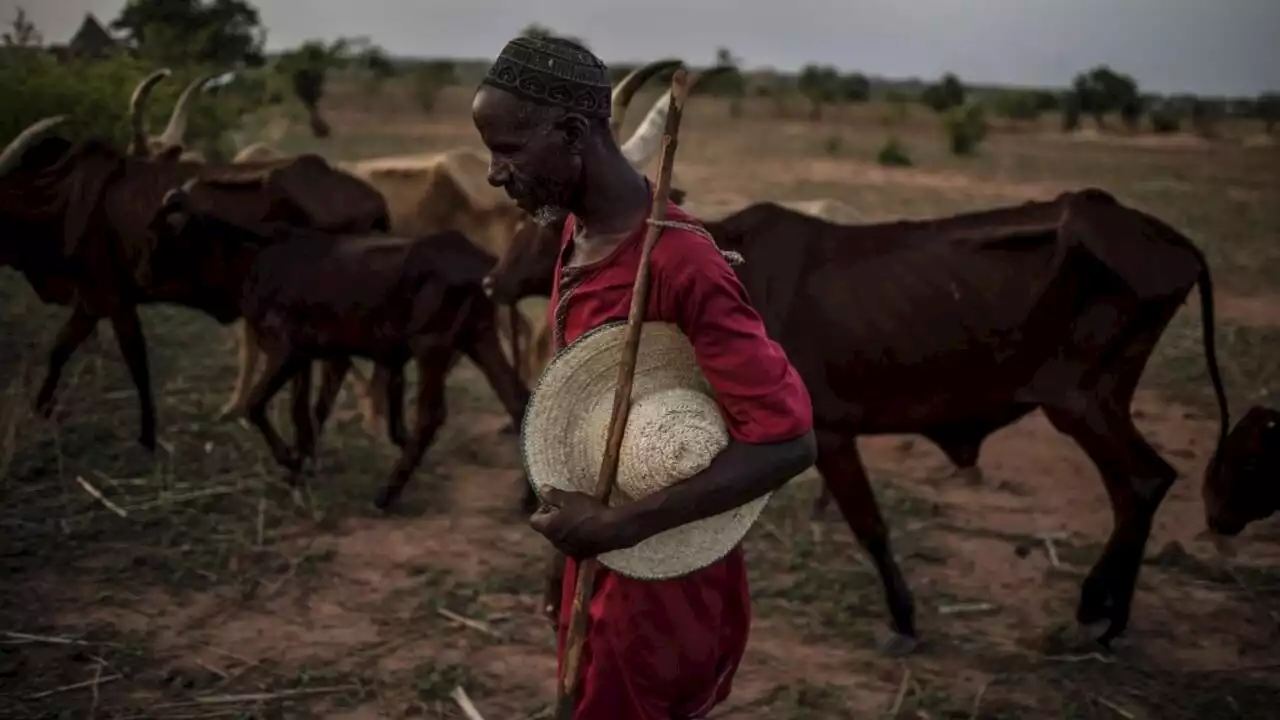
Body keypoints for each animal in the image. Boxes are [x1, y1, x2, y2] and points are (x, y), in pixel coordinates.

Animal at [0, 113, 389, 448]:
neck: (63, 196)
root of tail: (372, 198)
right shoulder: (93, 300)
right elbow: (60, 350)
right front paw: (42, 409)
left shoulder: (112, 298)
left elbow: (135, 362)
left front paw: (147, 437)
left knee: (337, 364)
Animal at [148, 179, 529, 509]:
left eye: (161, 237)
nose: (143, 274)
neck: (260, 257)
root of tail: (482, 263)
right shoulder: (310, 357)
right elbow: (303, 411)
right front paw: (302, 463)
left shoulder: (285, 350)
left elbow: (257, 405)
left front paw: (291, 462)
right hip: (479, 338)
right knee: (516, 399)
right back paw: (525, 497)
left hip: (433, 348)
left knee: (431, 416)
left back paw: (386, 495)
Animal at [483, 189, 1233, 650]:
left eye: (546, 225)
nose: (493, 282)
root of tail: (1172, 240)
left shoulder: (827, 433)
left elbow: (871, 526)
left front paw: (903, 622)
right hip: (1093, 404)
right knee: (1140, 488)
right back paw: (1106, 615)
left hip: (1083, 402)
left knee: (1144, 483)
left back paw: (1098, 616)